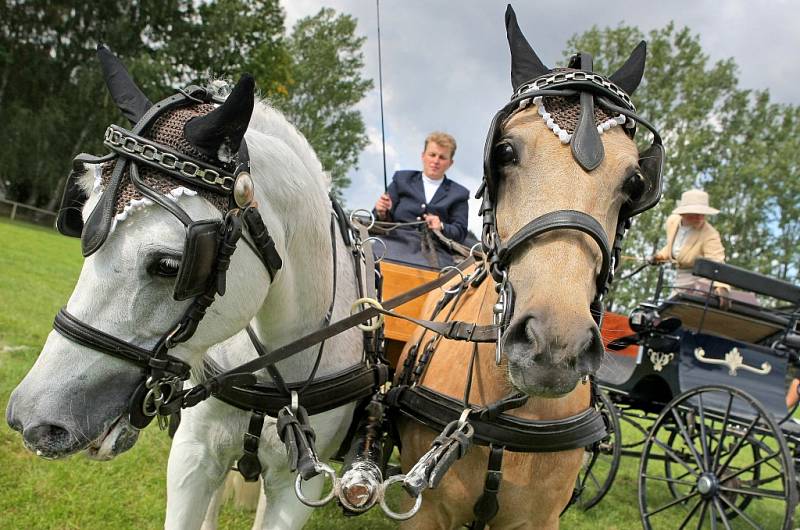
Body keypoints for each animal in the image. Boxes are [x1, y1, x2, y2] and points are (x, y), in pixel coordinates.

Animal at [392, 6, 664, 524]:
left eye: (636, 181)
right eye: (504, 151)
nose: (556, 345)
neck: (511, 408)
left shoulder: (539, 519)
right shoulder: (427, 515)